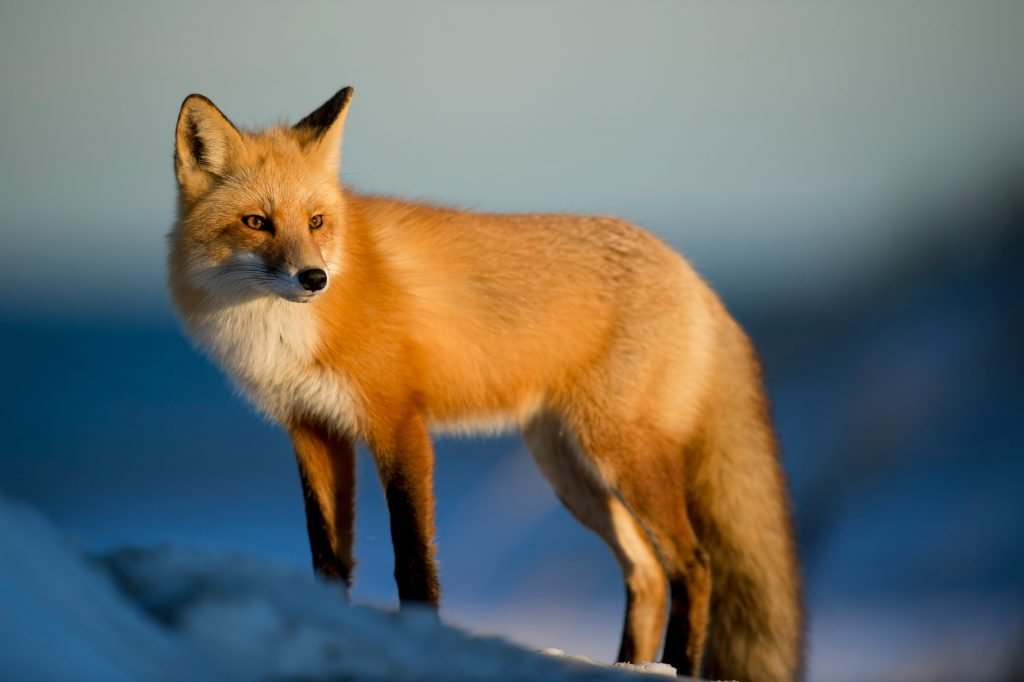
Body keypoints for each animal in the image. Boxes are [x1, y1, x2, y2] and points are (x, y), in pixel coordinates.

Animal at [167, 86, 804, 681]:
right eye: (257, 222)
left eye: (317, 221)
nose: (314, 278)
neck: (283, 333)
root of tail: (694, 276)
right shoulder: (312, 429)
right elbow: (328, 558)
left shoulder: (399, 423)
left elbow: (412, 559)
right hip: (569, 470)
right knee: (646, 572)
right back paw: (629, 665)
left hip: (620, 454)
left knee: (693, 565)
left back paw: (678, 667)